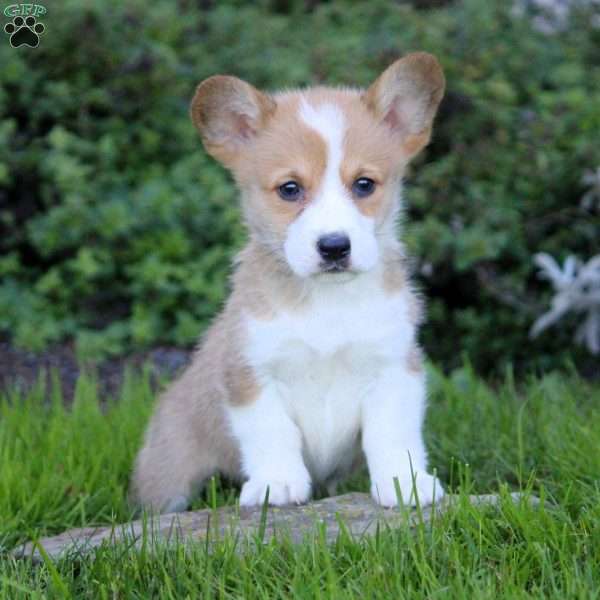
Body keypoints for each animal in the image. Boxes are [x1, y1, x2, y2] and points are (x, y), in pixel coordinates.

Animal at [131, 52, 446, 510]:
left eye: (364, 184)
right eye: (290, 188)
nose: (334, 247)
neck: (327, 301)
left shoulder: (394, 368)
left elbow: (393, 434)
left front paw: (405, 482)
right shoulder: (251, 375)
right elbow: (272, 433)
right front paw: (276, 484)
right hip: (169, 474)